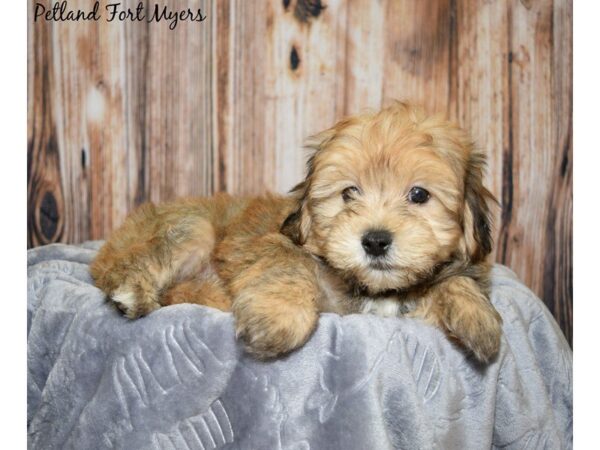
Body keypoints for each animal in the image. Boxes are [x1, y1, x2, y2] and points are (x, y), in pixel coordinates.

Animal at [90, 102, 502, 362]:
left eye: (419, 195)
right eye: (349, 193)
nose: (375, 241)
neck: (372, 289)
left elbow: (458, 280)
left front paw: (479, 319)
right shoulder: (273, 241)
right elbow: (288, 265)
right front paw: (279, 317)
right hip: (192, 228)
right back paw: (133, 293)